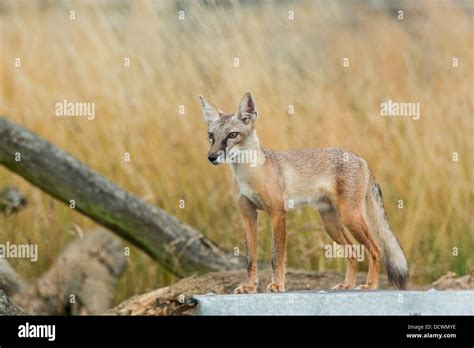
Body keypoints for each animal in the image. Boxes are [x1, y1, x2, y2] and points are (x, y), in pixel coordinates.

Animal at [199, 91, 408, 292]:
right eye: (211, 136)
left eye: (232, 135)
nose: (211, 157)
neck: (249, 173)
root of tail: (362, 159)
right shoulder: (248, 216)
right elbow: (250, 259)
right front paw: (250, 287)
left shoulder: (278, 213)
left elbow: (277, 257)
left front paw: (277, 285)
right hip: (331, 224)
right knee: (354, 252)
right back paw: (347, 285)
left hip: (351, 217)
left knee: (376, 250)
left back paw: (370, 285)